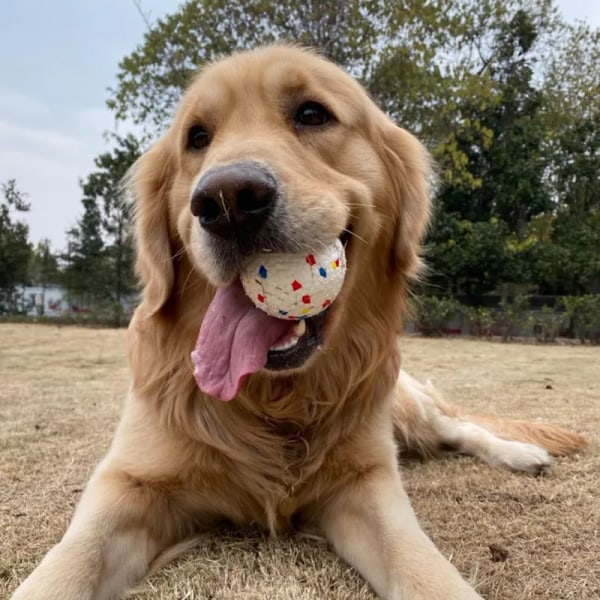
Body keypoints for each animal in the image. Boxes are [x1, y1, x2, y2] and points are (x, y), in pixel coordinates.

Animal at [11, 45, 584, 600]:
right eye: (197, 137)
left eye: (312, 114)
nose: (226, 200)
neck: (273, 398)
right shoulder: (128, 481)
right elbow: (70, 562)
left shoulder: (367, 481)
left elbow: (425, 569)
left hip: (404, 406)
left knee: (461, 429)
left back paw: (521, 454)